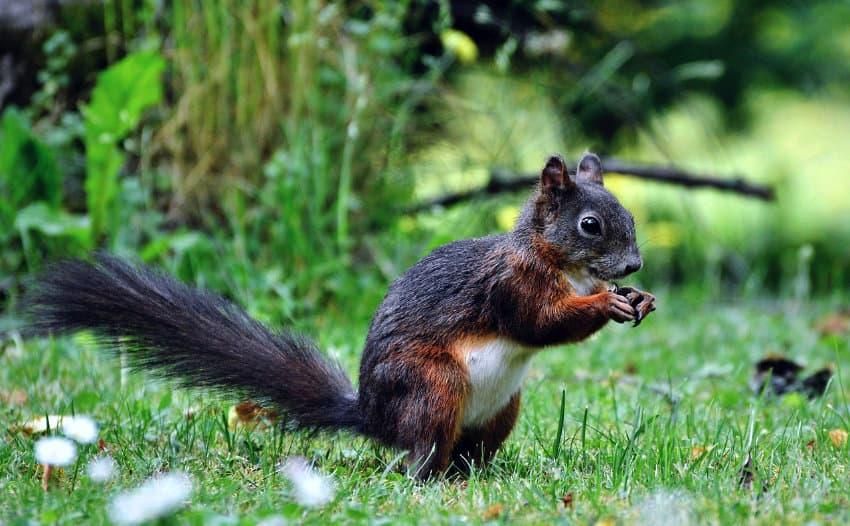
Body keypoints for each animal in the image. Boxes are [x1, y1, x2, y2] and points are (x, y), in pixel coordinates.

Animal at [25, 152, 655, 480]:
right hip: (432, 384)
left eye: (627, 215)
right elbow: (538, 323)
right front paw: (605, 303)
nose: (633, 264)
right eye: (590, 225)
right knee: (421, 450)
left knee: (467, 452)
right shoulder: (510, 284)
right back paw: (428, 477)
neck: (562, 265)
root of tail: (374, 417)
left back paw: (477, 475)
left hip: (502, 409)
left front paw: (639, 299)